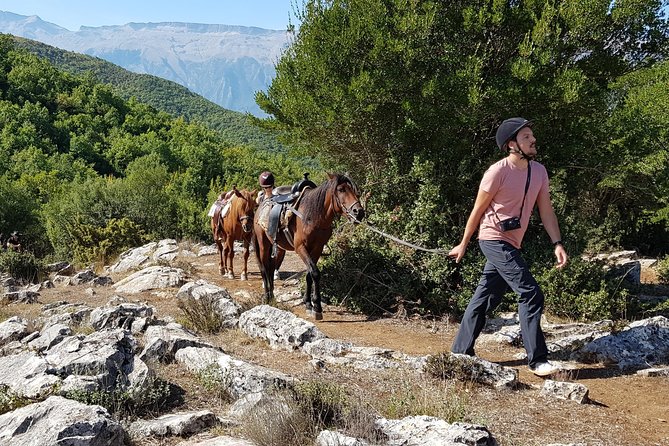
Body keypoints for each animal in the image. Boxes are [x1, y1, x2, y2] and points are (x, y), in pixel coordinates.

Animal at [253, 173, 365, 320]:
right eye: (341, 190)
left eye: (355, 191)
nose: (359, 212)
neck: (313, 216)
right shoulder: (301, 248)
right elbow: (315, 273)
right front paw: (317, 307)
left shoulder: (317, 248)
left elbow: (309, 275)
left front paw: (308, 304)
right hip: (263, 245)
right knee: (265, 269)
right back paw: (267, 297)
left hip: (275, 246)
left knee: (271, 268)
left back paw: (272, 296)